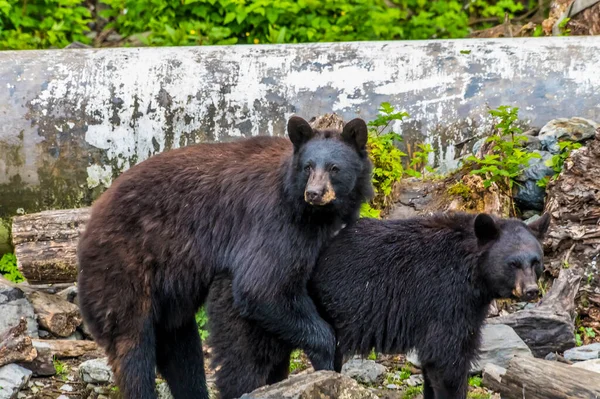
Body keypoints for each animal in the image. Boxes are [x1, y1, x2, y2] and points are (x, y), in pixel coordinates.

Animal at [77, 116, 372, 399]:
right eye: (308, 167)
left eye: (334, 168)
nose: (314, 193)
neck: (313, 213)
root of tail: (91, 220)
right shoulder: (277, 223)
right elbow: (263, 288)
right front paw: (326, 359)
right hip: (123, 267)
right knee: (134, 348)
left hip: (170, 295)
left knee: (180, 348)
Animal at [209, 211, 552, 398]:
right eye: (513, 263)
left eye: (536, 261)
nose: (531, 291)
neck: (472, 270)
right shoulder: (446, 298)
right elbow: (448, 359)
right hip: (260, 309)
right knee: (245, 364)